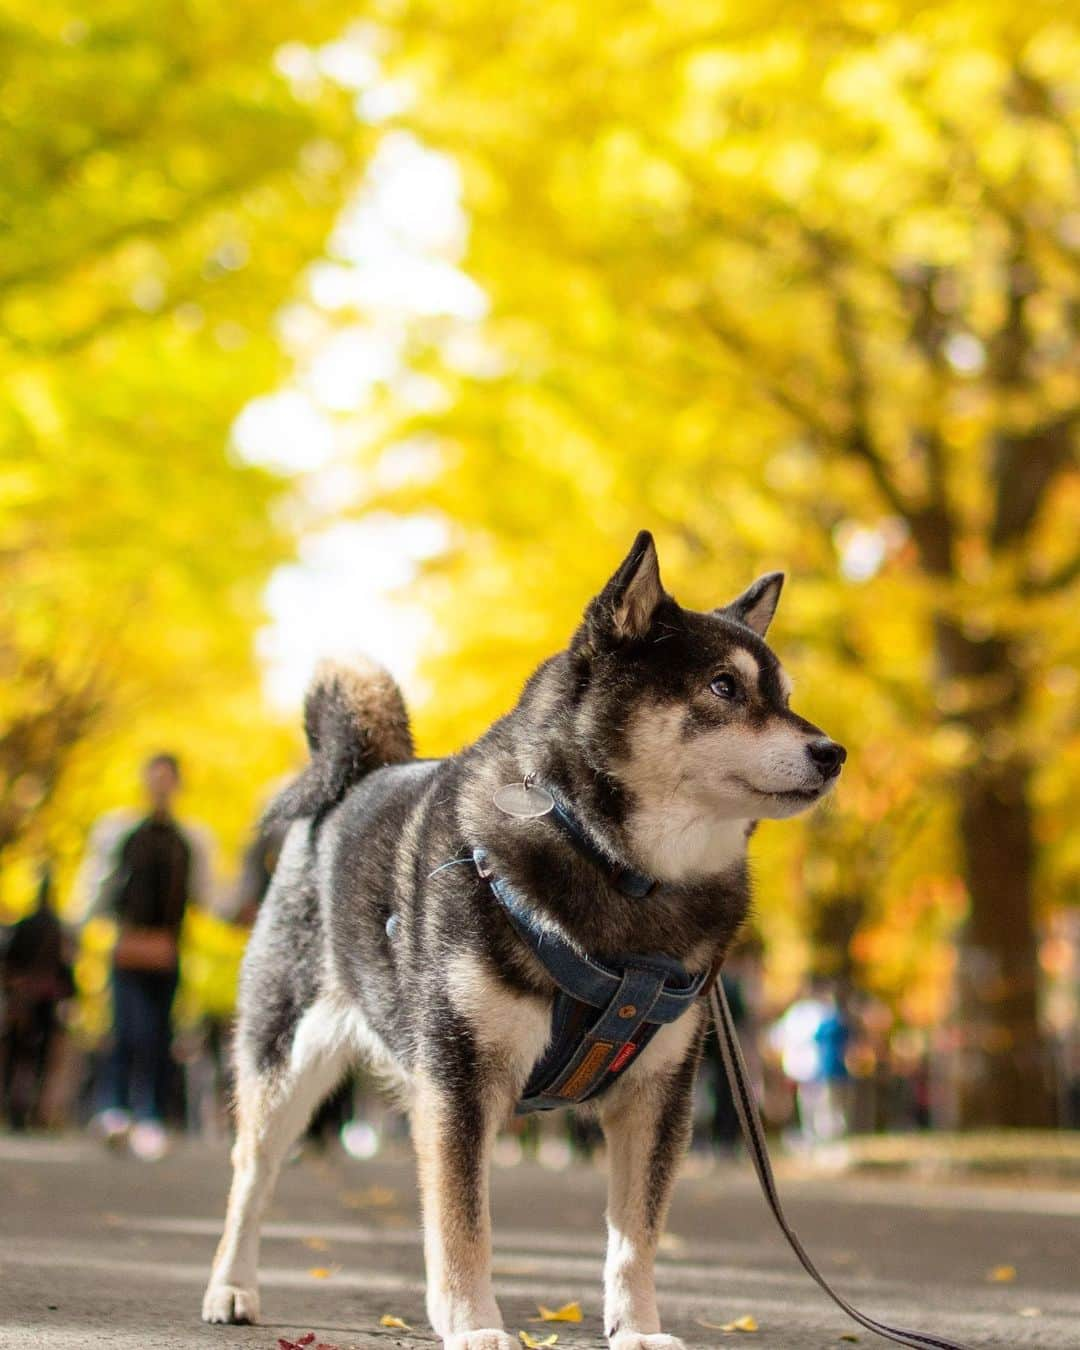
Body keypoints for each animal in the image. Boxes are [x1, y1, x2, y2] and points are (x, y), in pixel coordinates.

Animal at [199, 531, 842, 1350]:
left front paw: (636, 1329)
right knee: (251, 1180)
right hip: (285, 1063)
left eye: (786, 697)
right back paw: (231, 1287)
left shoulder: (657, 1095)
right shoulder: (459, 1084)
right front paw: (474, 1325)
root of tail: (357, 778)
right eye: (724, 687)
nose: (833, 752)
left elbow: (635, 1239)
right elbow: (463, 1226)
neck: (626, 875)